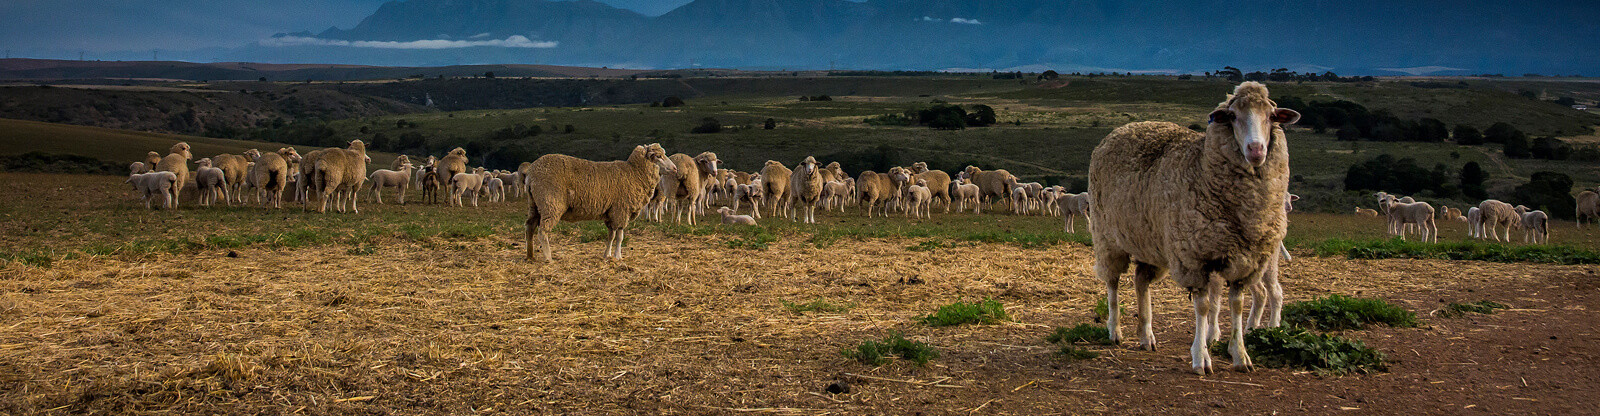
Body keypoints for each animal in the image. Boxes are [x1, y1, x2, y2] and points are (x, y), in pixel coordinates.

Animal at [524, 143, 676, 262]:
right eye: (658, 156)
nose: (675, 169)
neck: (634, 172)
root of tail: (531, 174)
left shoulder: (611, 213)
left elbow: (611, 236)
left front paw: (607, 255)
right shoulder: (621, 210)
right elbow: (619, 237)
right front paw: (618, 256)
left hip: (534, 204)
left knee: (530, 227)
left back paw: (530, 255)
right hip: (551, 203)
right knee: (542, 231)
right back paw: (548, 258)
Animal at [1088, 82, 1300, 374]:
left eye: (1270, 116)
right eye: (1232, 116)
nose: (1256, 150)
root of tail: (1122, 129)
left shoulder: (1244, 261)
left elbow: (1236, 304)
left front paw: (1240, 355)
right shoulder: (1195, 259)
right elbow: (1204, 306)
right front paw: (1200, 358)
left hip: (1148, 241)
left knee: (1141, 281)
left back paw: (1146, 336)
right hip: (1108, 237)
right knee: (1112, 282)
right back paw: (1114, 330)